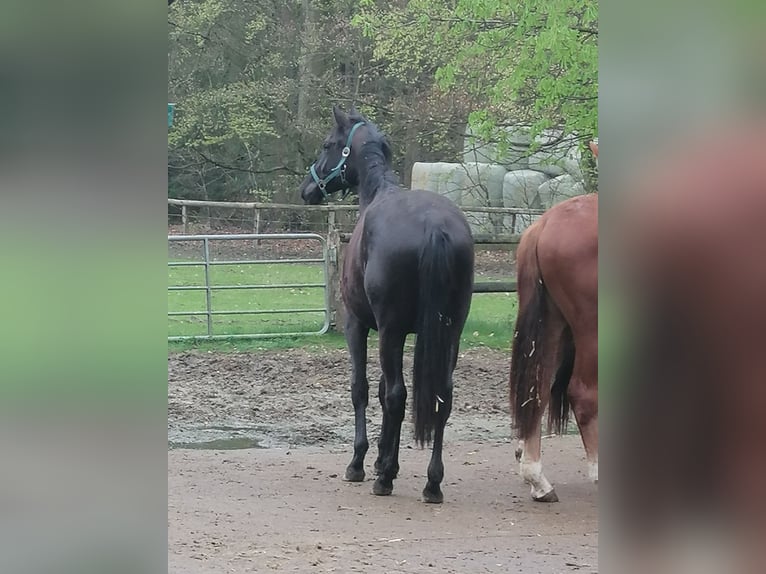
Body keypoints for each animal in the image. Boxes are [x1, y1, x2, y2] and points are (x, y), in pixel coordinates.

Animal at [300, 108, 474, 504]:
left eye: (328, 144)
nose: (308, 189)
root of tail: (434, 225)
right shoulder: (400, 332)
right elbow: (382, 390)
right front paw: (383, 457)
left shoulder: (362, 326)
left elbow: (364, 389)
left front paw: (364, 462)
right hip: (450, 331)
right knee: (442, 396)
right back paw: (432, 483)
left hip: (391, 330)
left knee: (397, 396)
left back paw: (385, 480)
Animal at [510, 196, 600, 502]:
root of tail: (544, 223)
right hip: (589, 328)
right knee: (583, 395)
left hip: (550, 323)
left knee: (537, 390)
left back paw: (537, 479)